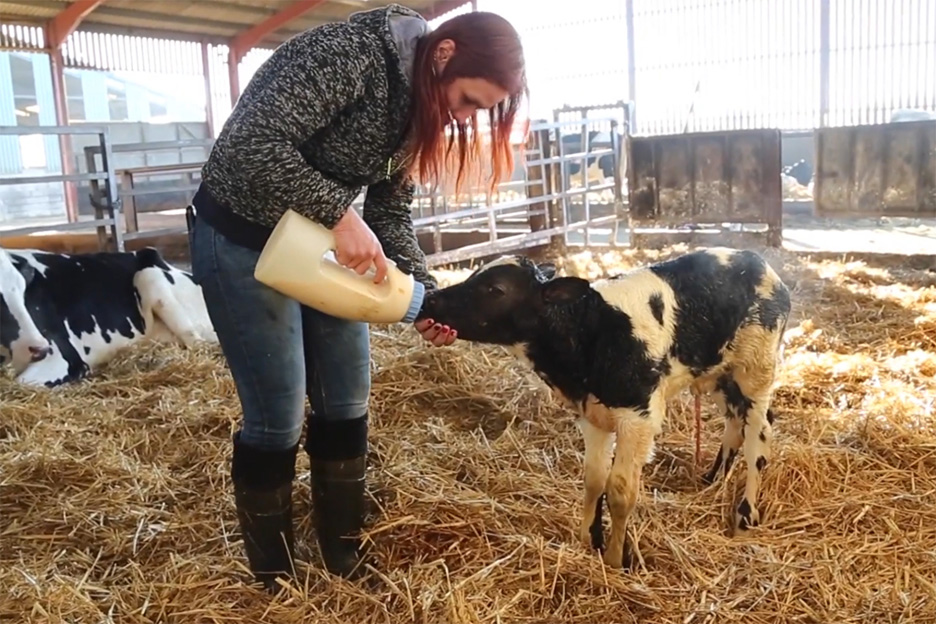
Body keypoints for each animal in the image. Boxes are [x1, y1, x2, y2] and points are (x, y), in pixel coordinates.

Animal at [0, 246, 216, 388]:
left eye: (22, 289)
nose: (39, 348)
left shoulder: (67, 357)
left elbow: (19, 383)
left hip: (149, 276)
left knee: (199, 344)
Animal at [420, 246, 792, 568]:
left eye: (495, 289)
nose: (429, 300)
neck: (589, 332)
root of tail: (759, 262)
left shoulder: (638, 417)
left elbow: (620, 490)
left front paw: (616, 558)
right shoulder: (593, 418)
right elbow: (594, 480)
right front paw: (590, 539)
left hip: (756, 370)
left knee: (758, 435)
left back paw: (744, 515)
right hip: (719, 373)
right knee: (735, 422)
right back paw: (713, 480)